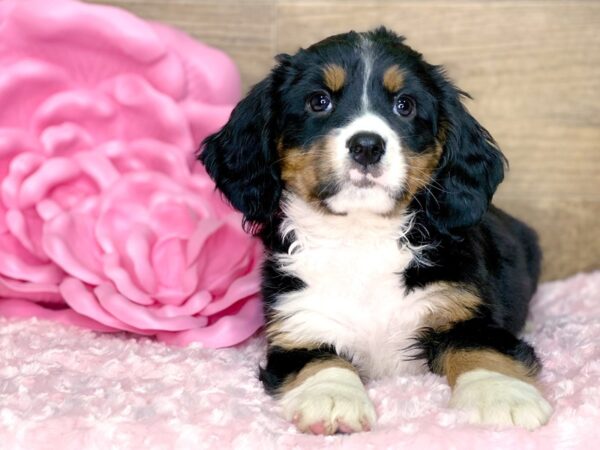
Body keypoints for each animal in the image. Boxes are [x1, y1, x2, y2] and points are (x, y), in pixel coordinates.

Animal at [202, 27, 552, 432]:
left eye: (405, 105)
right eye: (318, 101)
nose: (367, 146)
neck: (361, 237)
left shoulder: (466, 312)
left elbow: (481, 350)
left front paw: (501, 395)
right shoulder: (297, 326)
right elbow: (322, 361)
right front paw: (332, 399)